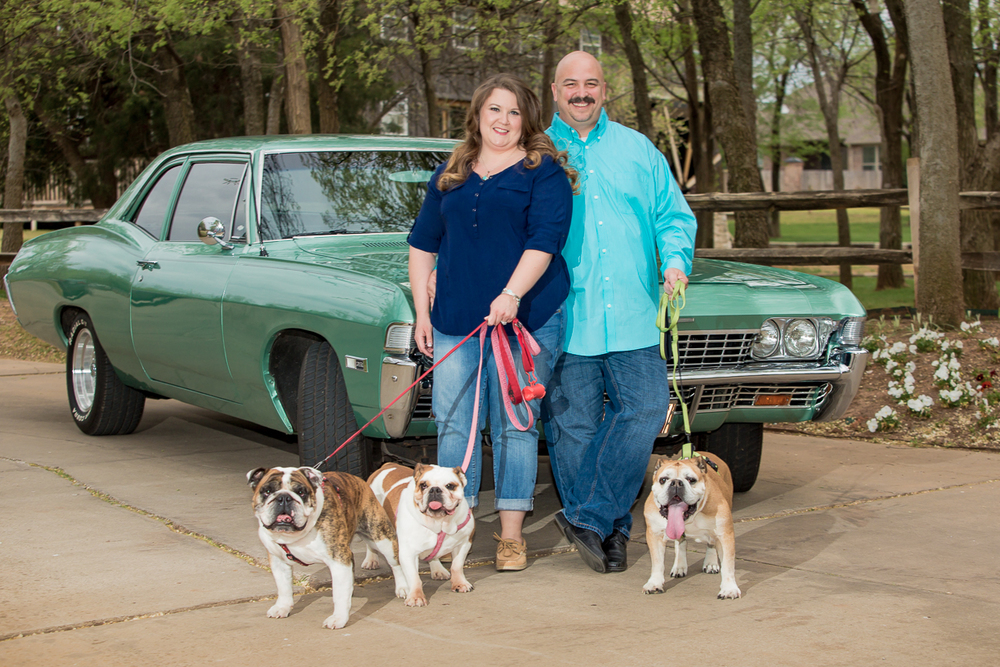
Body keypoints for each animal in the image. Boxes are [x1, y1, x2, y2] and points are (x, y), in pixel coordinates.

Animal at [644, 454, 740, 600]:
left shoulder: (724, 535)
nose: (676, 483)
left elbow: (728, 565)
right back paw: (679, 566)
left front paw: (729, 589)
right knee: (680, 543)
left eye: (691, 480)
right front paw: (655, 583)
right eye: (663, 480)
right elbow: (657, 562)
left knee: (711, 543)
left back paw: (711, 563)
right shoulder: (655, 535)